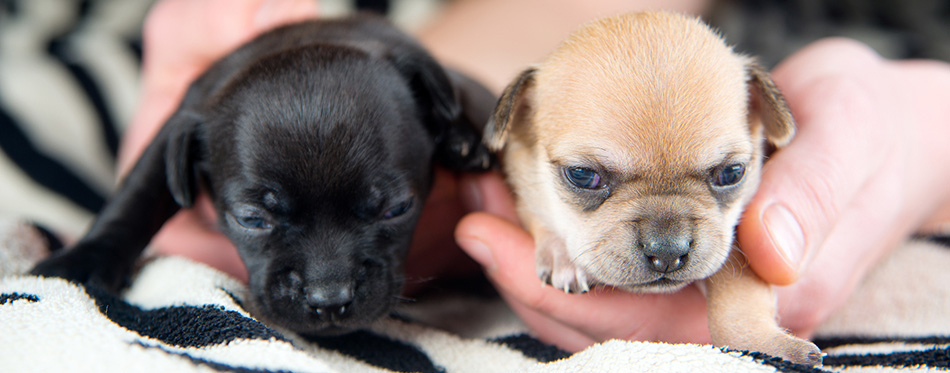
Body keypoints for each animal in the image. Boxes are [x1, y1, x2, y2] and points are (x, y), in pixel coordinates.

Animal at [30, 13, 494, 334]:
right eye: (252, 220)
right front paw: (82, 260)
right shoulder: (177, 126)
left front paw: (464, 137)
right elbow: (138, 196)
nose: (329, 300)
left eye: (397, 210)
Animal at [488, 10, 820, 364]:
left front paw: (769, 345)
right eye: (582, 175)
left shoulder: (735, 246)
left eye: (731, 173)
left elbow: (738, 296)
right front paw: (561, 255)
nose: (667, 251)